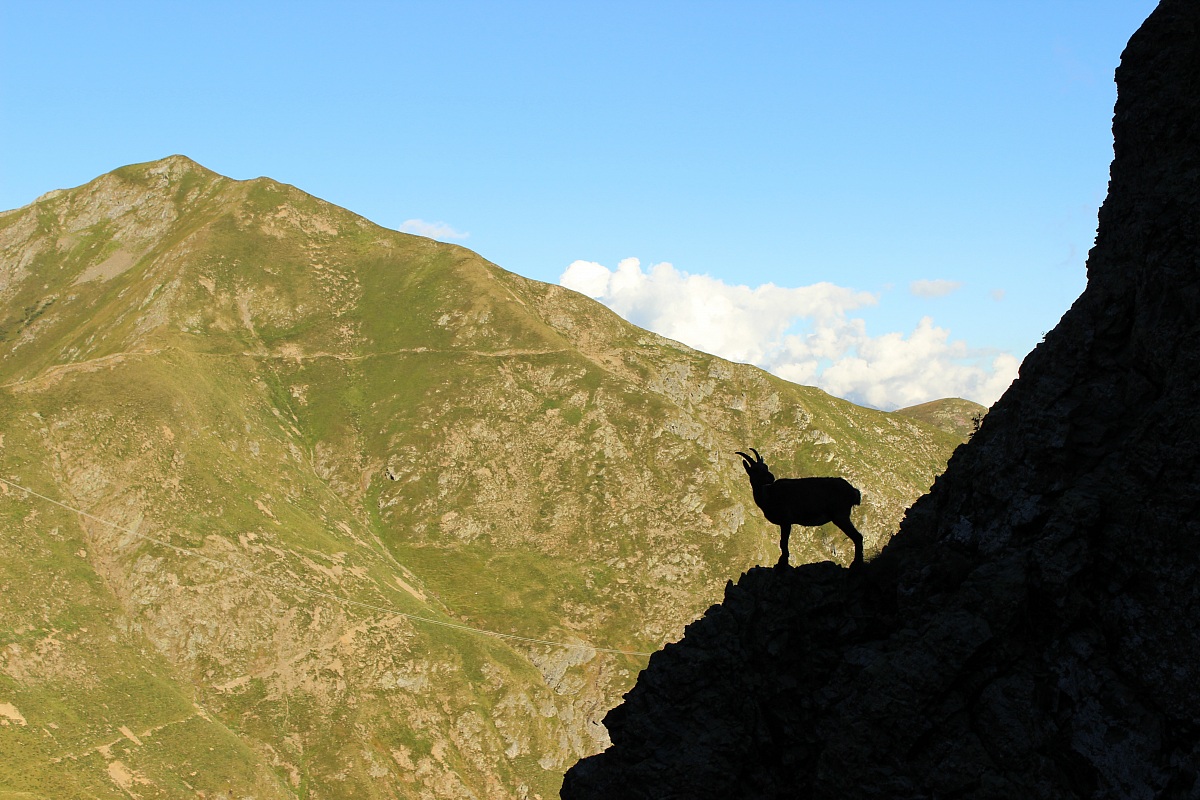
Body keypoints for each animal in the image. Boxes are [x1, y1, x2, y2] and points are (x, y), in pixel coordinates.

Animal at [735, 448, 864, 568]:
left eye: (765, 467)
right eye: (755, 470)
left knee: (858, 536)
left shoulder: (786, 521)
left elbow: (783, 543)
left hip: (840, 515)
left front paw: (782, 563)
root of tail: (853, 491)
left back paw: (856, 564)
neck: (768, 495)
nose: (771, 477)